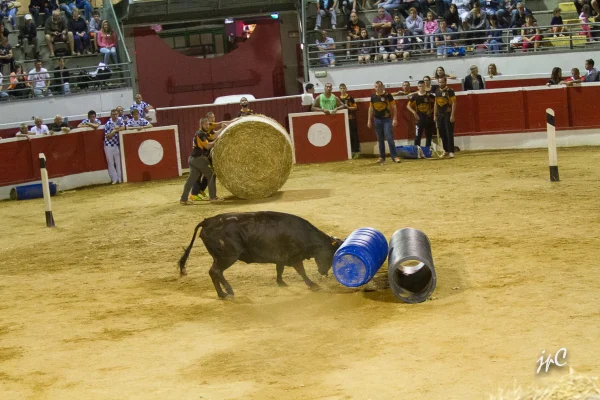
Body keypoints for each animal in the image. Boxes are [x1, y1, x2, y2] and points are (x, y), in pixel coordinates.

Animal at [178, 211, 342, 298]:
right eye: (331, 256)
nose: (324, 273)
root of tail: (207, 221)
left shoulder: (280, 257)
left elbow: (279, 269)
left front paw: (281, 282)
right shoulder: (294, 257)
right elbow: (301, 271)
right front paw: (313, 285)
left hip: (219, 257)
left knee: (213, 273)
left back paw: (222, 294)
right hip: (228, 256)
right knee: (216, 271)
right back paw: (228, 291)